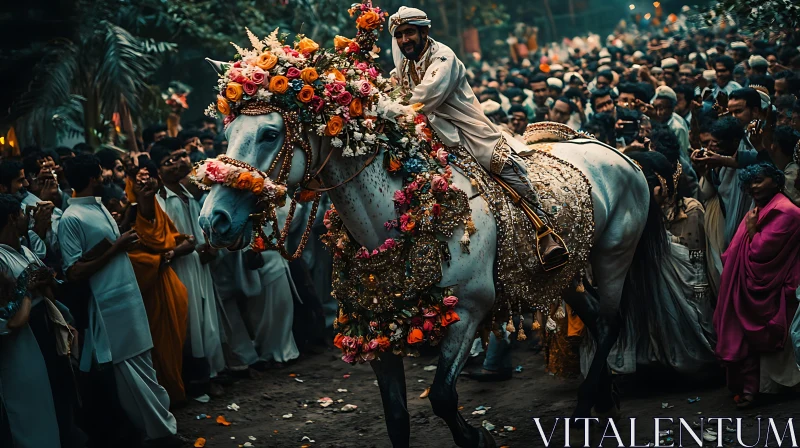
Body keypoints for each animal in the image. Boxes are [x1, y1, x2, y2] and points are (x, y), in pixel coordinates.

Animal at [197, 109, 664, 448]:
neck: (396, 219)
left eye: (269, 134)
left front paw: (477, 437)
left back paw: (588, 401)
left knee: (612, 321)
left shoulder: (470, 310)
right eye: (229, 130)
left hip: (614, 254)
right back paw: (602, 400)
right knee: (597, 320)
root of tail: (620, 153)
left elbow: (441, 396)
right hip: (563, 273)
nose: (212, 220)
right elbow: (397, 418)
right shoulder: (375, 328)